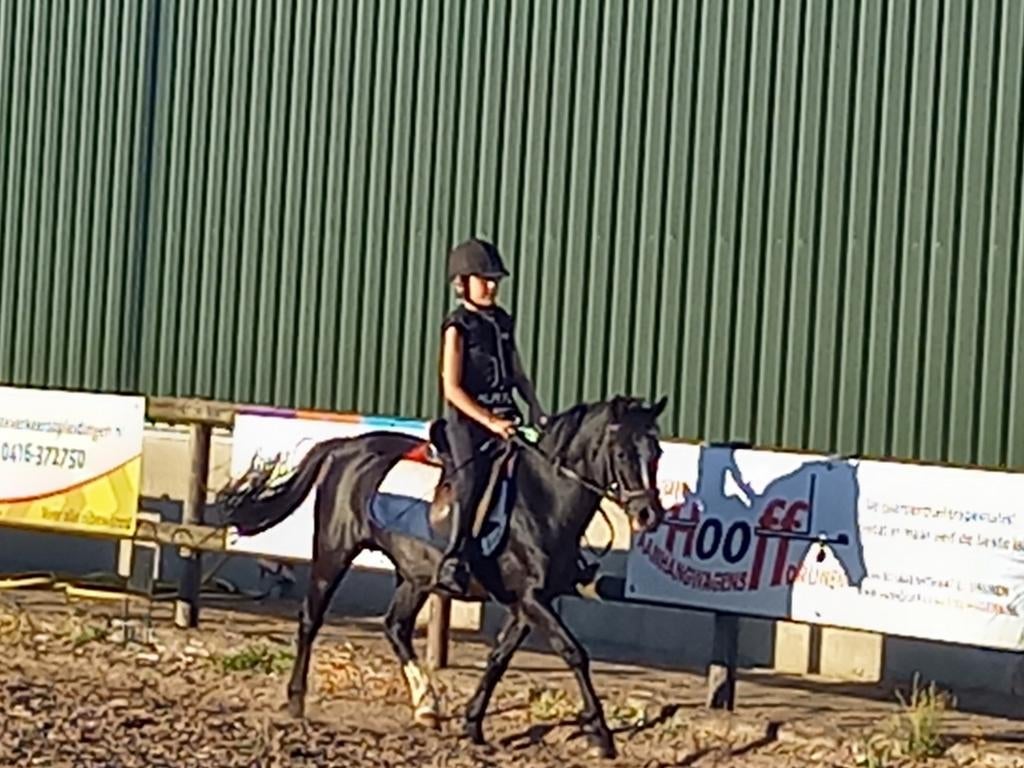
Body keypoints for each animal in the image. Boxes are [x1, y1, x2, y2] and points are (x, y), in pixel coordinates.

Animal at [216, 394, 668, 759]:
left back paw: (427, 707)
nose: (649, 514)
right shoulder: (532, 599)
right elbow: (574, 652)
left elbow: (499, 658)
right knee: (311, 618)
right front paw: (602, 736)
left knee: (395, 626)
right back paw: (296, 702)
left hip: (414, 574)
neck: (542, 499)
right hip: (333, 550)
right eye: (622, 453)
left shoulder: (526, 604)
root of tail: (344, 447)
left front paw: (473, 724)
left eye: (657, 451)